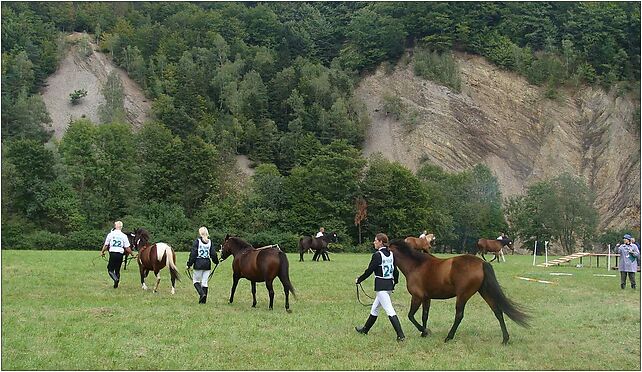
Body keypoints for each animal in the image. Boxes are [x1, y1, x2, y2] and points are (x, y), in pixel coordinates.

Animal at [388, 240, 528, 344]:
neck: (416, 266)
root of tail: (482, 263)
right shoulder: (426, 298)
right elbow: (424, 316)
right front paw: (423, 333)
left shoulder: (417, 297)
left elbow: (411, 316)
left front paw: (426, 331)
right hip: (484, 292)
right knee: (498, 312)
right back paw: (505, 339)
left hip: (463, 295)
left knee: (459, 315)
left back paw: (449, 337)